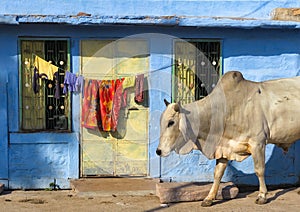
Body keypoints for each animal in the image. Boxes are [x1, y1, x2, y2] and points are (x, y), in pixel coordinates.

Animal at [156, 71, 300, 207]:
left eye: (171, 122)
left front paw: (262, 196)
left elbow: (259, 170)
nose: (158, 151)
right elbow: (218, 173)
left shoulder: (258, 143)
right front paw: (209, 198)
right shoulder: (223, 148)